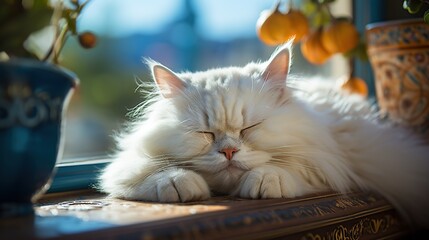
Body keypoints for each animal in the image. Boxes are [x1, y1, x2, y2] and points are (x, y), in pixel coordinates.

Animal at [98, 42, 428, 228]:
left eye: (249, 128)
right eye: (206, 134)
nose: (229, 152)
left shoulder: (331, 157)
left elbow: (286, 168)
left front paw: (265, 181)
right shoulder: (125, 164)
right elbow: (153, 172)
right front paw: (179, 183)